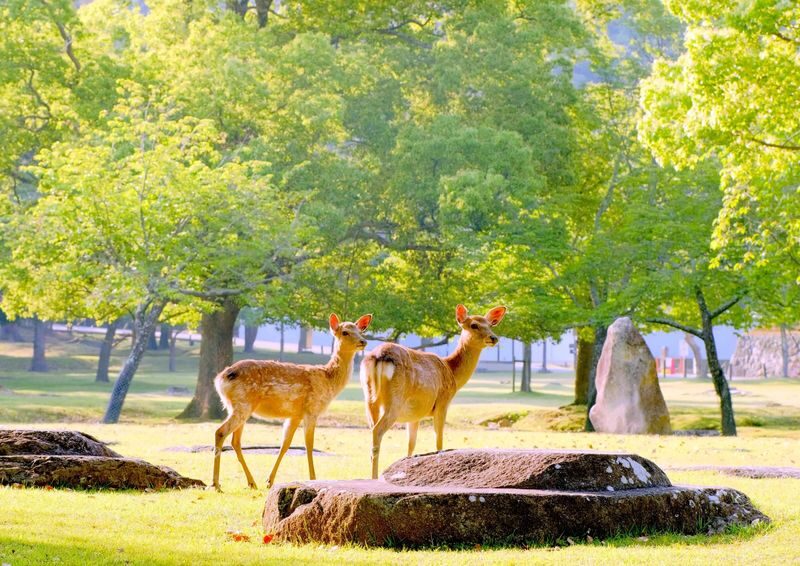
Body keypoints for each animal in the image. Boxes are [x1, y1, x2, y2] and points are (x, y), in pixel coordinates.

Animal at [212, 312, 372, 491]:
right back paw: (216, 484)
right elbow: (309, 444)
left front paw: (269, 481)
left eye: (360, 331)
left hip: (237, 406)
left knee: (235, 441)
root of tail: (220, 379)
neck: (328, 381)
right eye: (345, 332)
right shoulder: (312, 409)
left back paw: (252, 483)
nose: (363, 342)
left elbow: (285, 445)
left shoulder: (294, 415)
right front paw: (313, 478)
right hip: (243, 404)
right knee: (220, 432)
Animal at [360, 304, 506, 479]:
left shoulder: (415, 415)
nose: (494, 338)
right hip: (395, 399)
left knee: (371, 431)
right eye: (474, 325)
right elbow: (439, 442)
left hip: (369, 399)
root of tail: (379, 356)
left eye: (490, 325)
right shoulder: (443, 402)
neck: (451, 371)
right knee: (377, 432)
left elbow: (411, 445)